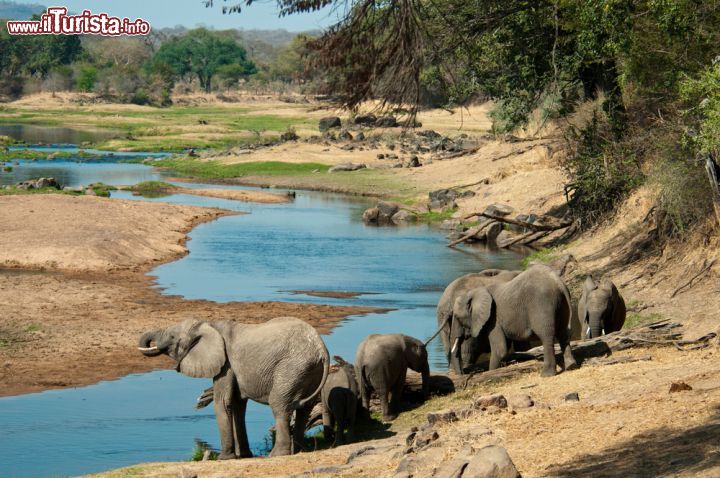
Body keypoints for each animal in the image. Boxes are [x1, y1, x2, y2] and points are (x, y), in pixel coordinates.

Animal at [137, 318, 330, 460]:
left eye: (172, 337)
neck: (209, 325)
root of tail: (321, 348)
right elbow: (238, 405)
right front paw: (244, 455)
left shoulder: (225, 364)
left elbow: (223, 402)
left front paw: (223, 458)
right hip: (308, 371)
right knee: (304, 409)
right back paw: (299, 451)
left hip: (291, 367)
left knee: (279, 405)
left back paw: (277, 455)